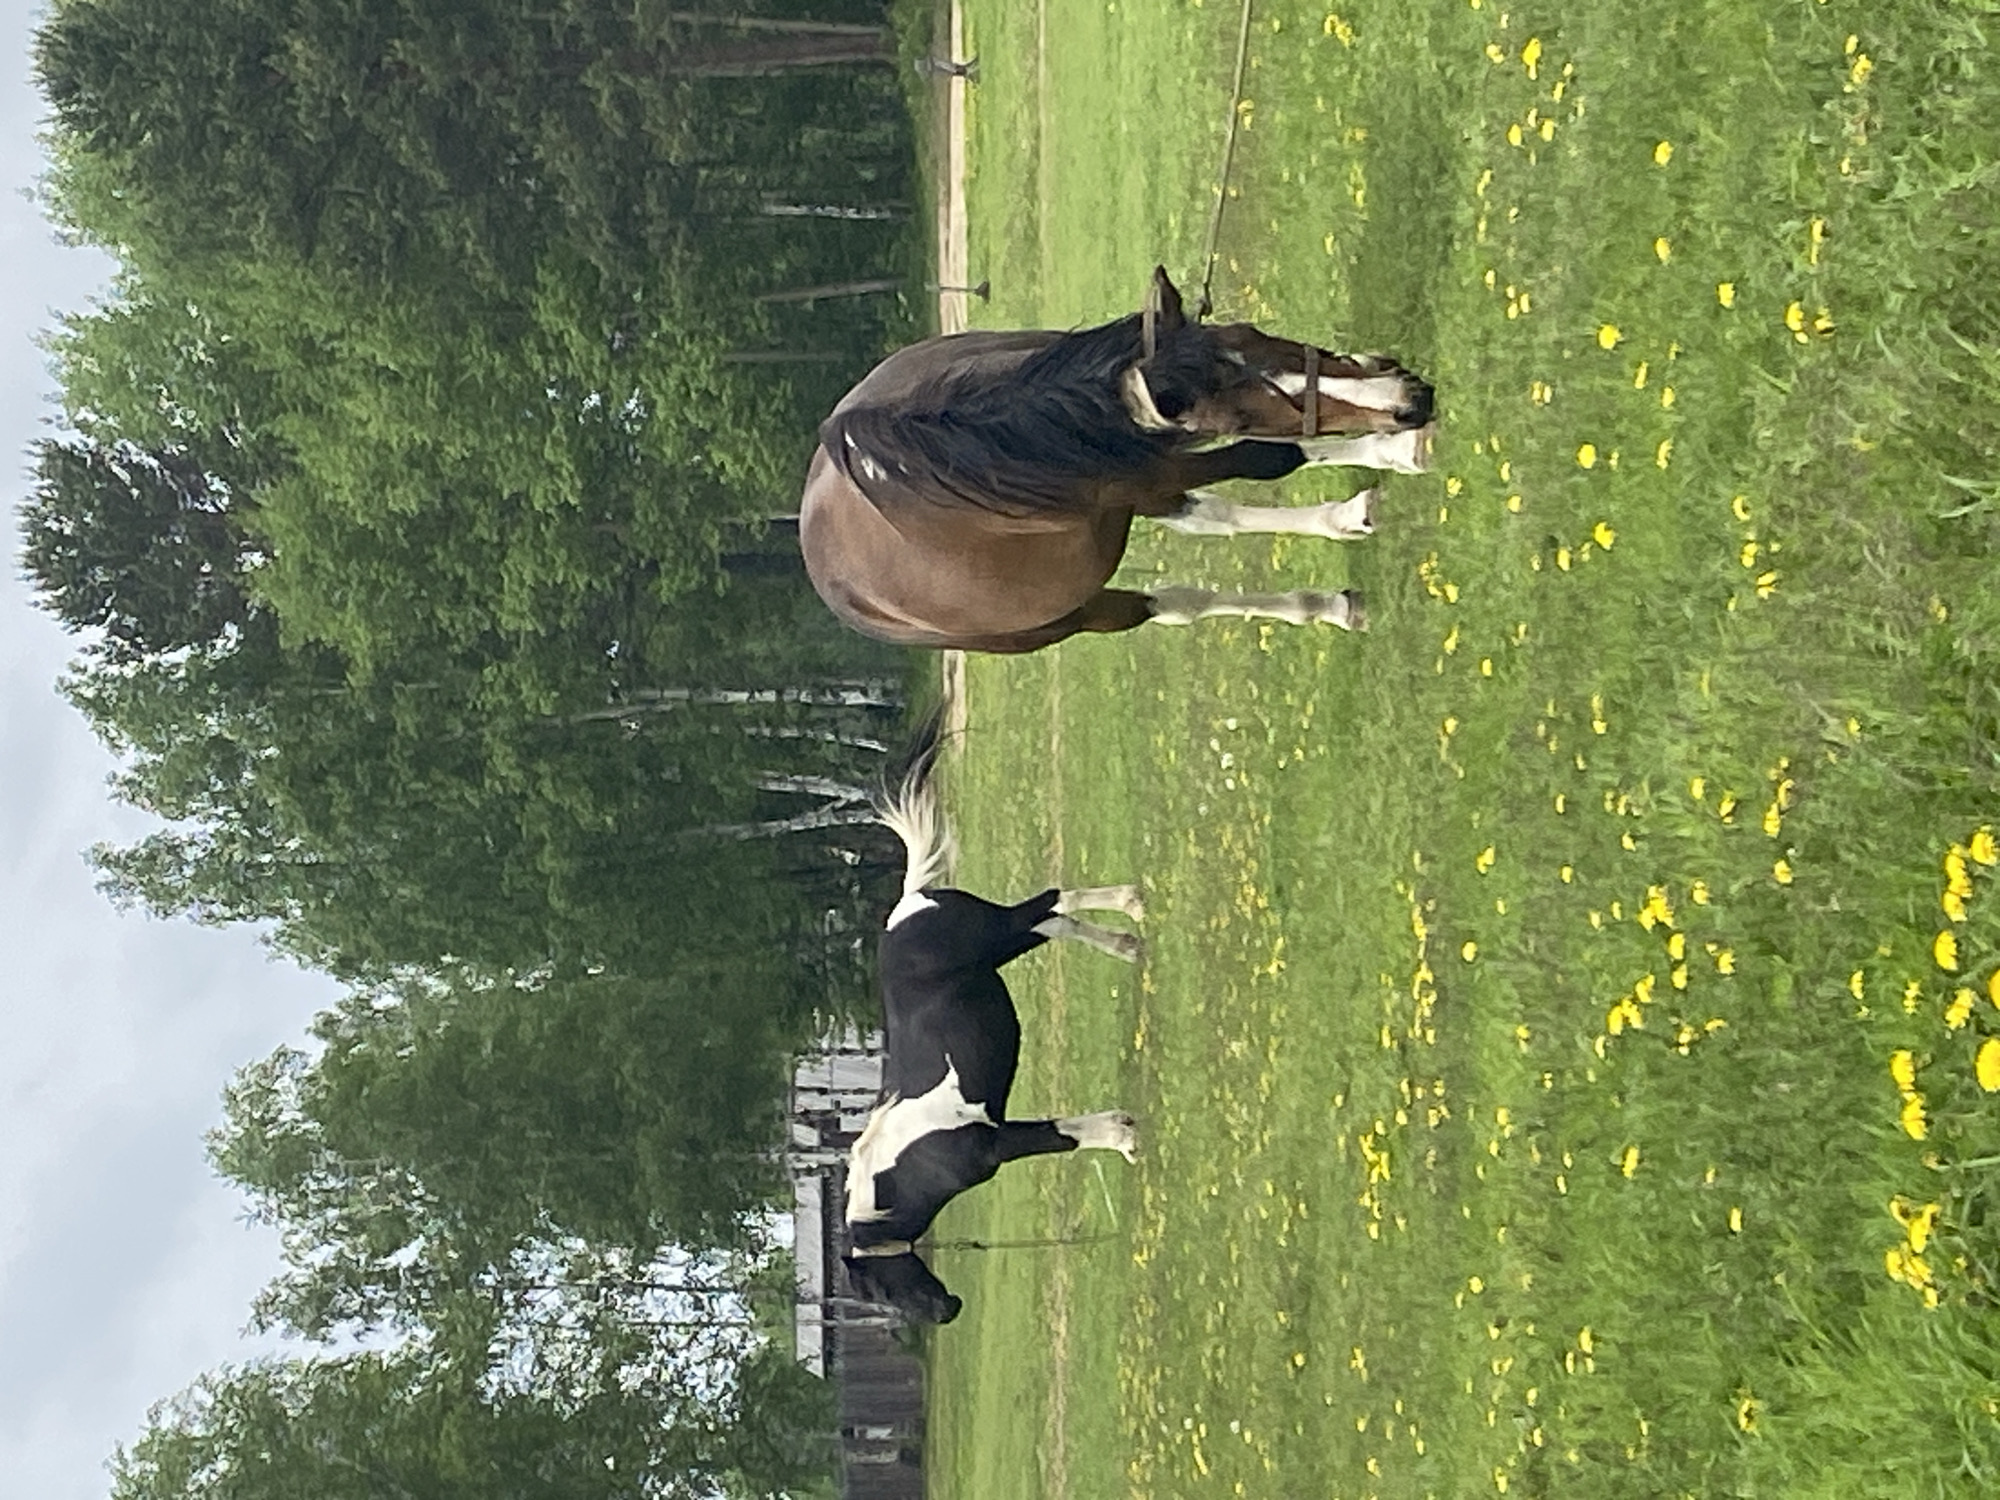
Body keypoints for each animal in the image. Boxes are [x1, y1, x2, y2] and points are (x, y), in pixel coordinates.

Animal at [801, 266, 1436, 654]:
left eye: (1252, 331)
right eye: (1236, 416)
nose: (1410, 399)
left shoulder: (1142, 469)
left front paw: (1390, 448)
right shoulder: (1150, 470)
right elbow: (1269, 459)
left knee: (1208, 519)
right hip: (1070, 615)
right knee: (1178, 602)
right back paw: (1326, 601)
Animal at [840, 736, 1141, 1325]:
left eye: (879, 1292)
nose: (947, 1310)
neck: (906, 1163)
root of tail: (910, 902)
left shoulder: (997, 1144)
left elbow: (1061, 1135)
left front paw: (1125, 1138)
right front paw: (1125, 1126)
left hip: (1000, 933)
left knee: (1051, 902)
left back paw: (1132, 905)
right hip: (1009, 942)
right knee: (1054, 920)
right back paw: (1130, 945)